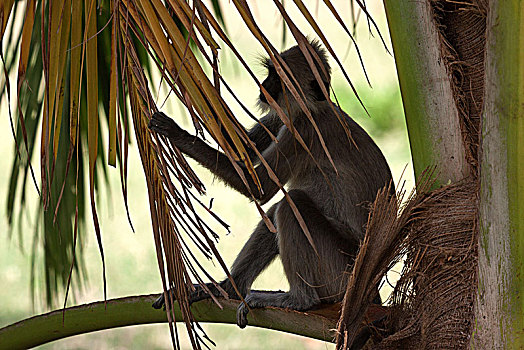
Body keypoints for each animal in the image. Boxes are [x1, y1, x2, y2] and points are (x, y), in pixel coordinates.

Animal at [148, 39, 392, 330]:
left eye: (278, 78)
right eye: (270, 73)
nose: (264, 85)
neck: (315, 108)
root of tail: (367, 290)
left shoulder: (302, 131)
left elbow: (260, 189)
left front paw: (176, 133)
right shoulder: (284, 117)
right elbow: (242, 150)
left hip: (339, 274)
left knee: (290, 203)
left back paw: (300, 301)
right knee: (279, 209)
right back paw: (228, 289)